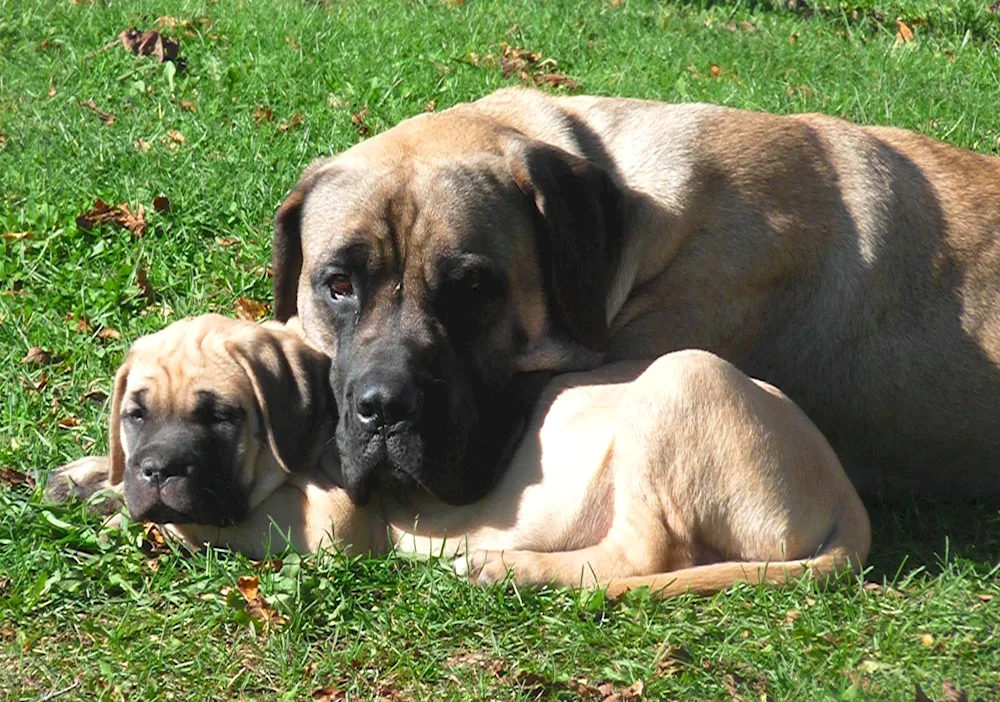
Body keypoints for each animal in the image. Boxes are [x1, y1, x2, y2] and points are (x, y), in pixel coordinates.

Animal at [47, 318, 872, 600]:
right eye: (135, 414)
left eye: (220, 417)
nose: (158, 470)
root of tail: (846, 494)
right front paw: (90, 477)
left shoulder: (332, 524)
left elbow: (209, 523)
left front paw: (135, 518)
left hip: (678, 382)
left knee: (645, 553)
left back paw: (508, 568)